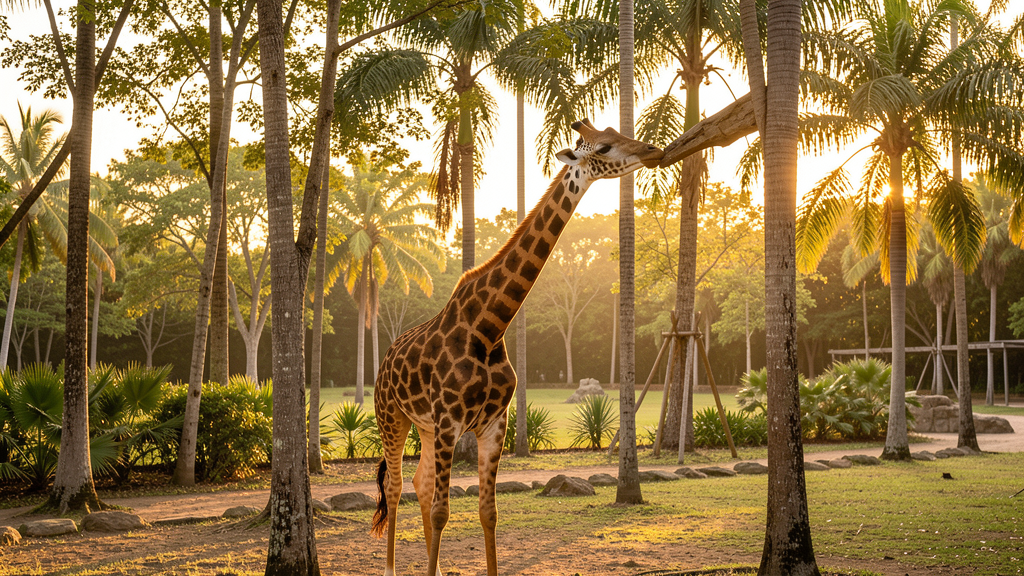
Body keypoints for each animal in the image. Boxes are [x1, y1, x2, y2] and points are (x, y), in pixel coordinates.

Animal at [371, 120, 664, 576]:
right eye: (603, 146)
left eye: (617, 132)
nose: (653, 151)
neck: (489, 327)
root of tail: (384, 360)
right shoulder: (451, 421)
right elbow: (442, 511)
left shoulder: (493, 424)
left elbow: (488, 513)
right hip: (392, 415)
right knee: (396, 483)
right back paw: (390, 568)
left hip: (425, 426)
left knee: (419, 483)